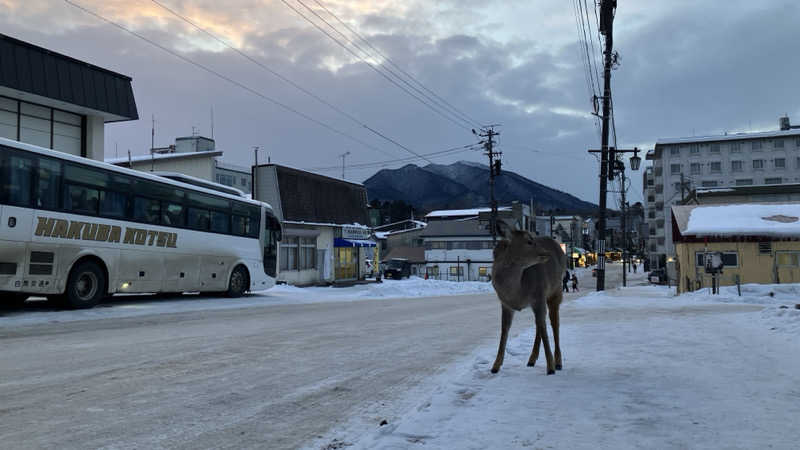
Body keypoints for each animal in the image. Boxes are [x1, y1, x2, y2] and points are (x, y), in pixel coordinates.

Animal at [490, 222, 564, 376]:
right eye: (529, 241)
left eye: (532, 238)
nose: (547, 253)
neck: (517, 292)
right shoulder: (505, 303)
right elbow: (504, 330)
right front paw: (495, 365)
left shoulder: (539, 295)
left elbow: (544, 328)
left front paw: (550, 367)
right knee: (539, 324)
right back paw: (532, 359)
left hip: (556, 289)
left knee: (554, 323)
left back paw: (558, 362)